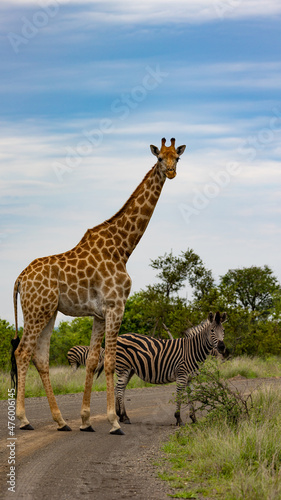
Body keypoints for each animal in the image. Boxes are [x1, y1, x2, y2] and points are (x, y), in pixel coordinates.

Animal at [11, 138, 186, 434]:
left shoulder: (98, 313)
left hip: (48, 312)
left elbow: (93, 361)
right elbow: (111, 361)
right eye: (160, 158)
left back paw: (61, 421)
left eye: (178, 157)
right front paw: (114, 422)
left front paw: (85, 421)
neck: (122, 247)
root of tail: (20, 278)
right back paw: (24, 420)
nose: (172, 172)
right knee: (22, 352)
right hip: (36, 311)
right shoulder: (116, 306)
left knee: (40, 357)